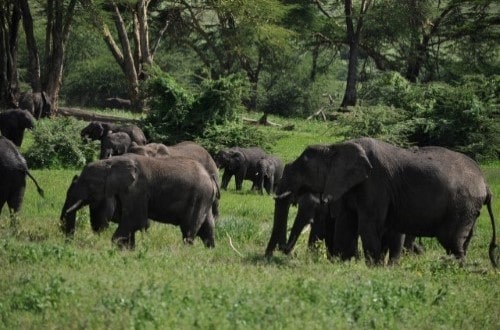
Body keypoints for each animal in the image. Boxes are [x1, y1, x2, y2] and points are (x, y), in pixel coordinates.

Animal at [61, 153, 219, 248]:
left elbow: (134, 220)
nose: (69, 241)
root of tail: (210, 177)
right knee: (207, 228)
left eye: (89, 183)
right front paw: (128, 250)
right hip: (204, 198)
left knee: (189, 230)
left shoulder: (137, 189)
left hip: (198, 196)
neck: (112, 162)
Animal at [266, 138, 496, 266]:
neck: (335, 147)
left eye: (302, 166)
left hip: (462, 206)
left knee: (452, 241)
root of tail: (486, 184)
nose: (272, 254)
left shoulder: (375, 183)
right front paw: (345, 264)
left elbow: (368, 224)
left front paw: (372, 267)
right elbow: (346, 223)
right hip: (469, 211)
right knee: (461, 242)